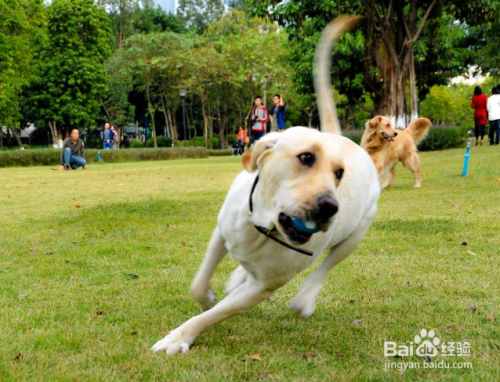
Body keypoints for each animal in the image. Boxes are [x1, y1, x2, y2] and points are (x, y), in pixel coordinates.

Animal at [150, 14, 380, 356]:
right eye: (306, 157)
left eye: (339, 173)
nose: (330, 206)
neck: (263, 225)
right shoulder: (222, 231)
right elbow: (199, 283)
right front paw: (207, 297)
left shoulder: (264, 286)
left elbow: (216, 313)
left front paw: (179, 336)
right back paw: (237, 275)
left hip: (356, 233)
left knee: (327, 264)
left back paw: (304, 299)